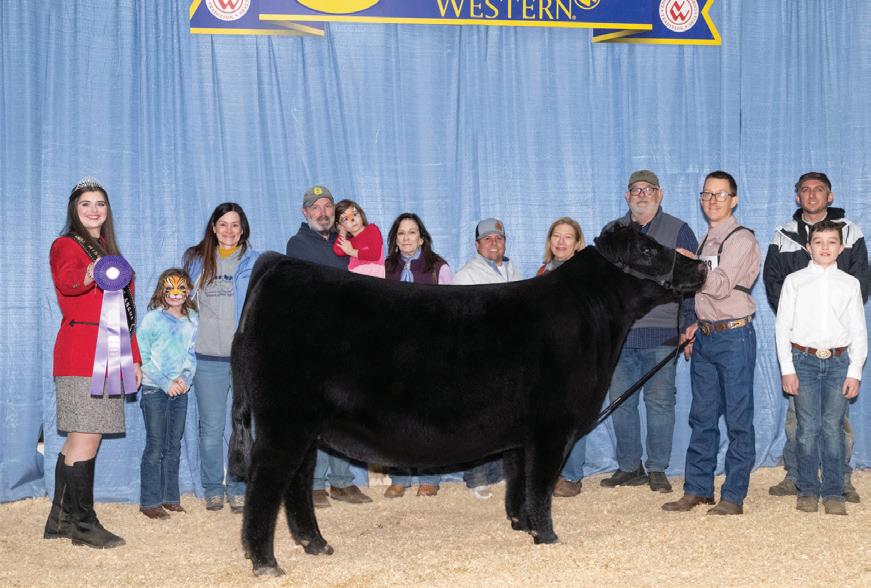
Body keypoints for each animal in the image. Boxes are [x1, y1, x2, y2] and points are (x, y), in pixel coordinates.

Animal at [228, 224, 707, 576]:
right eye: (645, 250)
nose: (700, 265)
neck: (593, 319)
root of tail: (280, 265)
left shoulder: (523, 434)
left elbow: (518, 482)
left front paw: (520, 525)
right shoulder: (552, 428)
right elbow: (540, 486)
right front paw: (547, 536)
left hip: (305, 426)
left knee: (297, 484)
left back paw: (316, 544)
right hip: (283, 422)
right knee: (266, 485)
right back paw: (266, 562)